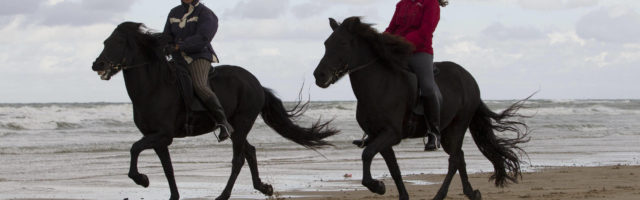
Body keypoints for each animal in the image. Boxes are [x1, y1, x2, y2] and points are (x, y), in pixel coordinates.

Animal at [93, 21, 340, 200]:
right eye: (105, 41)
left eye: (117, 42)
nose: (97, 65)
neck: (154, 86)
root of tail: (256, 83)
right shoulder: (158, 139)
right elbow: (167, 168)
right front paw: (171, 194)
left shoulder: (162, 135)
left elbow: (134, 148)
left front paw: (142, 179)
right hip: (235, 127)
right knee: (250, 152)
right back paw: (264, 187)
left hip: (242, 123)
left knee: (238, 159)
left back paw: (224, 195)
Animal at [314, 17, 528, 200]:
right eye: (326, 44)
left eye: (342, 44)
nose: (319, 75)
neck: (380, 85)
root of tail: (470, 79)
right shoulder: (378, 136)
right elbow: (393, 168)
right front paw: (396, 193)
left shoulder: (391, 134)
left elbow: (367, 154)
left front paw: (378, 186)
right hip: (448, 132)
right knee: (459, 157)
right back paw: (471, 193)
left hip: (458, 126)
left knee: (453, 161)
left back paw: (440, 195)